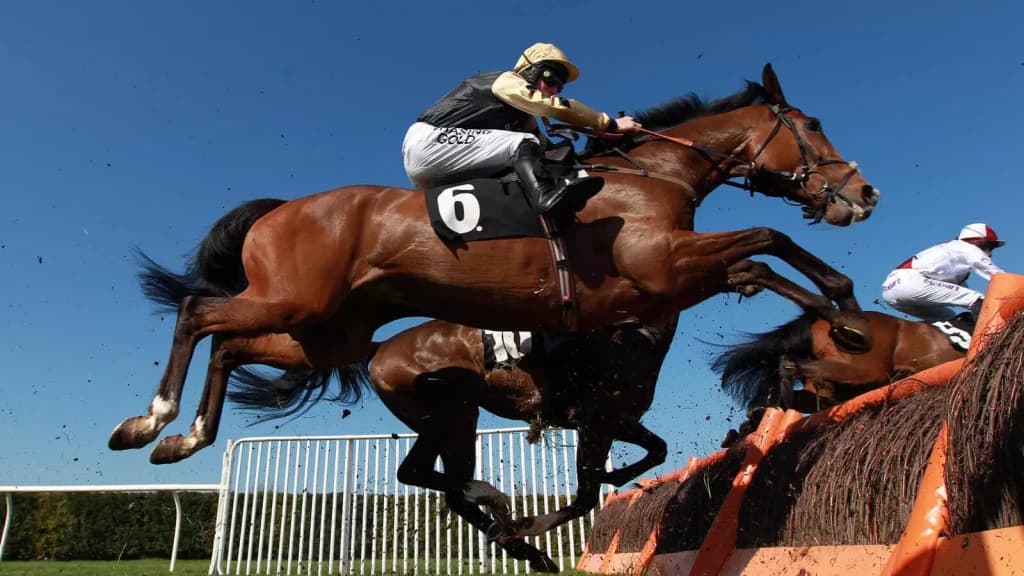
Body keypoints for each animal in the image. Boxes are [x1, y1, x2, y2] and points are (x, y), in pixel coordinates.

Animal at [112, 64, 879, 470]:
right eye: (812, 125)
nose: (864, 192)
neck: (654, 174)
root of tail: (280, 210)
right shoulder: (660, 268)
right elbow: (767, 240)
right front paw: (849, 321)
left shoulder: (669, 280)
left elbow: (765, 259)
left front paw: (843, 320)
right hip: (293, 301)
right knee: (198, 313)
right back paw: (152, 420)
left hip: (325, 331)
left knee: (230, 345)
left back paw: (185, 438)